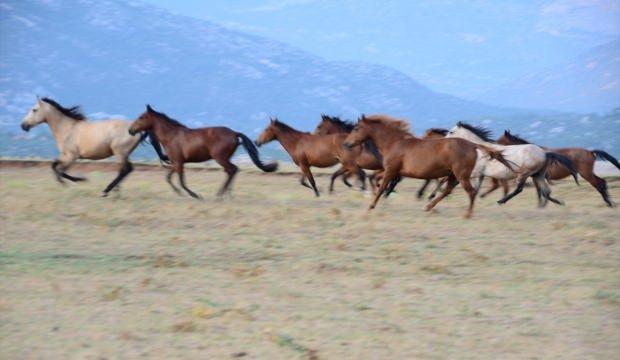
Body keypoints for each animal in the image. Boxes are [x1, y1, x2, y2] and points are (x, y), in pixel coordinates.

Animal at [127, 104, 278, 200]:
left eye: (141, 117)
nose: (130, 130)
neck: (171, 136)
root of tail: (235, 133)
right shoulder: (176, 162)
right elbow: (168, 178)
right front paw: (179, 193)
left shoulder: (179, 163)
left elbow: (181, 181)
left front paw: (195, 195)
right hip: (224, 159)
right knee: (231, 171)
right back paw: (226, 193)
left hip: (220, 158)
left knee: (233, 170)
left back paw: (220, 194)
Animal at [342, 114, 512, 218]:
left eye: (356, 128)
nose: (346, 144)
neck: (395, 143)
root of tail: (472, 144)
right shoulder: (394, 172)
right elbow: (378, 182)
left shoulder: (391, 170)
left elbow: (382, 185)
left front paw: (371, 206)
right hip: (453, 175)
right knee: (448, 190)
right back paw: (428, 207)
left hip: (461, 175)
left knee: (471, 192)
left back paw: (467, 215)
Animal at [448, 122, 580, 207]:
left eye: (451, 131)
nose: (445, 139)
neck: (479, 149)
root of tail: (545, 153)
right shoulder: (479, 175)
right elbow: (475, 189)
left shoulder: (474, 174)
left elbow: (470, 188)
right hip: (538, 175)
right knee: (546, 191)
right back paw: (555, 203)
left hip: (525, 174)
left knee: (520, 189)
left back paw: (501, 201)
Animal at [486, 131, 616, 207]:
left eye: (500, 141)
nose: (491, 150)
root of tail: (590, 151)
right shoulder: (536, 176)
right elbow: (541, 192)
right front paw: (543, 205)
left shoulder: (534, 176)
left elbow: (540, 192)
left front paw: (542, 205)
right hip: (588, 173)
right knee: (602, 182)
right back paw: (610, 202)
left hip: (586, 174)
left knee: (599, 185)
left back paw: (609, 203)